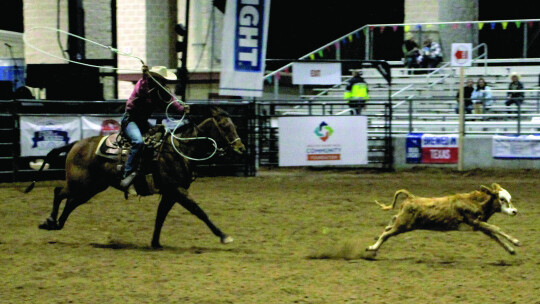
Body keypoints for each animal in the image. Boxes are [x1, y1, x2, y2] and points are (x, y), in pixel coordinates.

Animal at [24, 105, 245, 248]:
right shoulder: (177, 189)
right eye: (226, 127)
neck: (180, 149)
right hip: (80, 183)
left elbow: (160, 217)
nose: (241, 148)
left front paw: (155, 243)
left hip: (92, 187)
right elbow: (199, 211)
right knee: (59, 192)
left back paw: (56, 224)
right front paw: (224, 236)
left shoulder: (169, 193)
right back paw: (50, 221)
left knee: (70, 202)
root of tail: (76, 144)